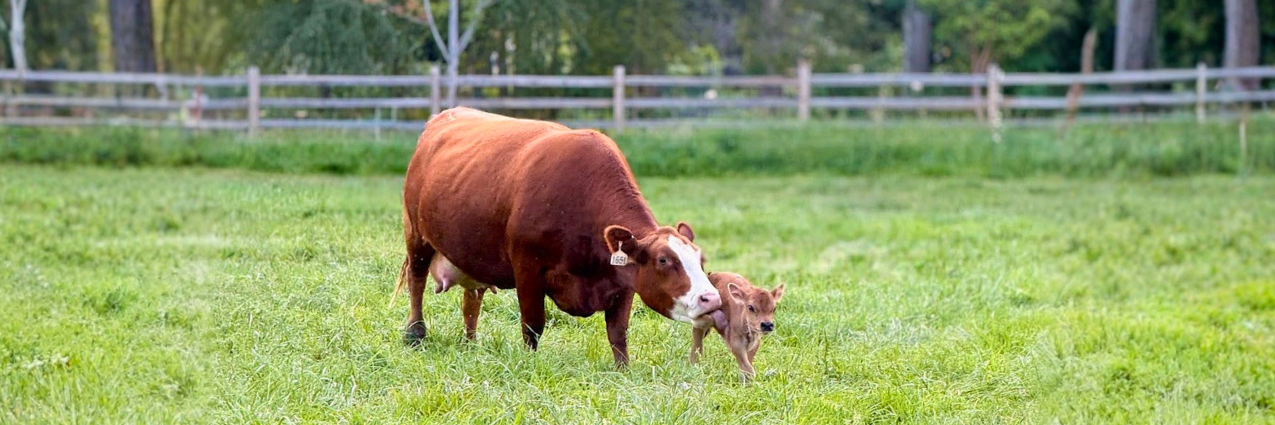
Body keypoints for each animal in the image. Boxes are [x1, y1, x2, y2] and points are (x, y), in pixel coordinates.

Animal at [393, 107, 722, 366]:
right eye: (663, 260)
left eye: (700, 259)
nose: (712, 298)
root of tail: (444, 116)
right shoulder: (527, 268)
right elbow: (533, 324)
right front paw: (529, 363)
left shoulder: (623, 281)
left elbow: (618, 332)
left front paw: (623, 369)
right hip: (416, 234)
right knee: (416, 281)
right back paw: (415, 333)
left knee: (472, 298)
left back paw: (471, 343)